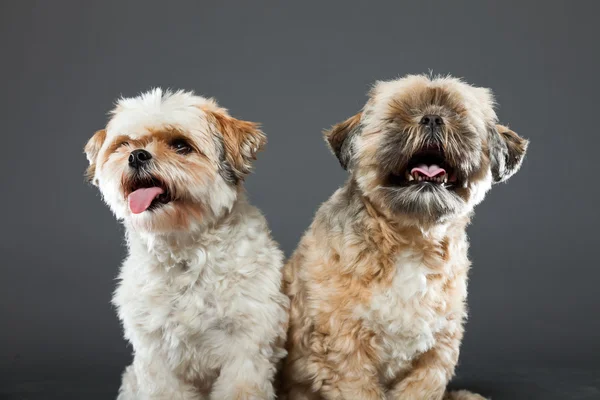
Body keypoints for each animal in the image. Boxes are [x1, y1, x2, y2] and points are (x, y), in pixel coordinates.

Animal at [84, 90, 288, 400]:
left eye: (181, 145)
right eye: (125, 144)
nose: (137, 155)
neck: (185, 250)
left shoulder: (247, 345)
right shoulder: (155, 353)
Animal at [278, 76, 528, 400]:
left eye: (458, 116)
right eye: (399, 116)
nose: (432, 118)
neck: (410, 239)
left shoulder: (437, 351)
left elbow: (422, 387)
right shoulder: (344, 349)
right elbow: (357, 386)